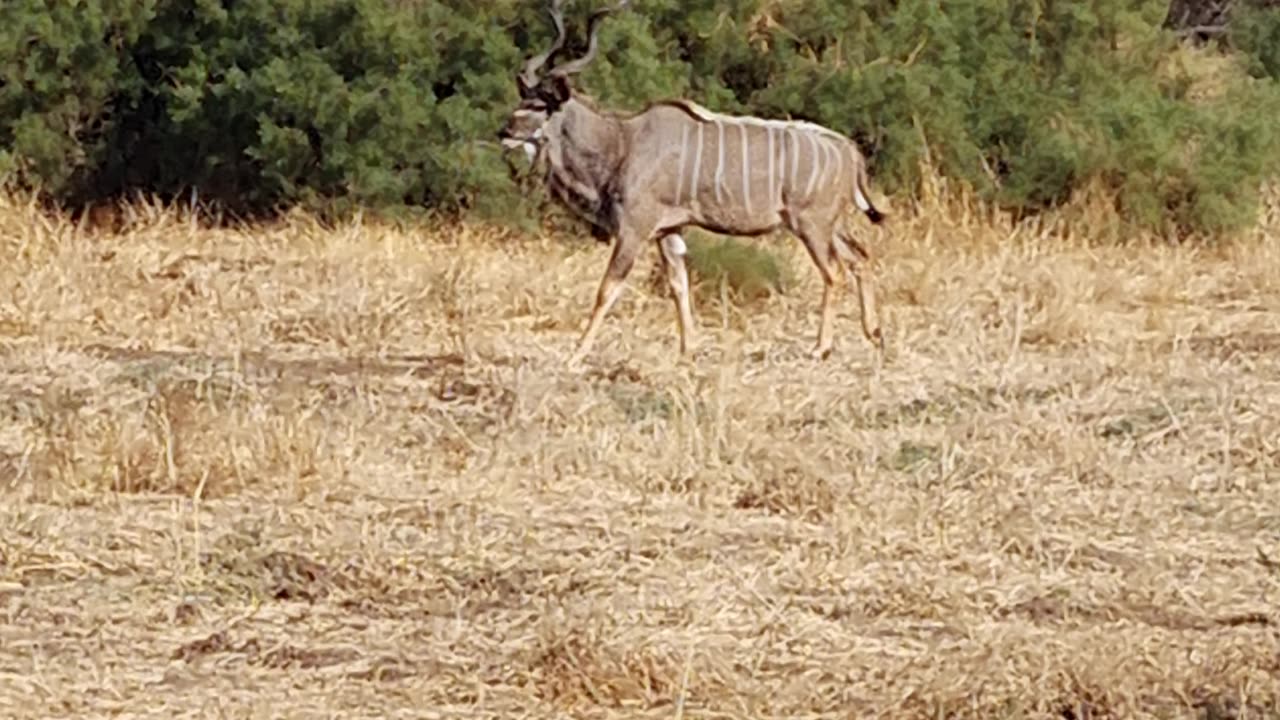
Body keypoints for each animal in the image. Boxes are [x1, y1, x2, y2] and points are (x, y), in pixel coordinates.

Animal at [494, 0, 885, 358]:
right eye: (523, 100)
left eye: (540, 105)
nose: (505, 131)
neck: (621, 143)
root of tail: (849, 150)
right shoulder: (669, 230)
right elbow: (678, 284)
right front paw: (688, 350)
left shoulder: (635, 228)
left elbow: (608, 288)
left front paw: (577, 354)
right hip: (831, 226)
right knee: (861, 258)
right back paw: (875, 333)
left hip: (812, 226)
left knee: (835, 272)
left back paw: (822, 347)